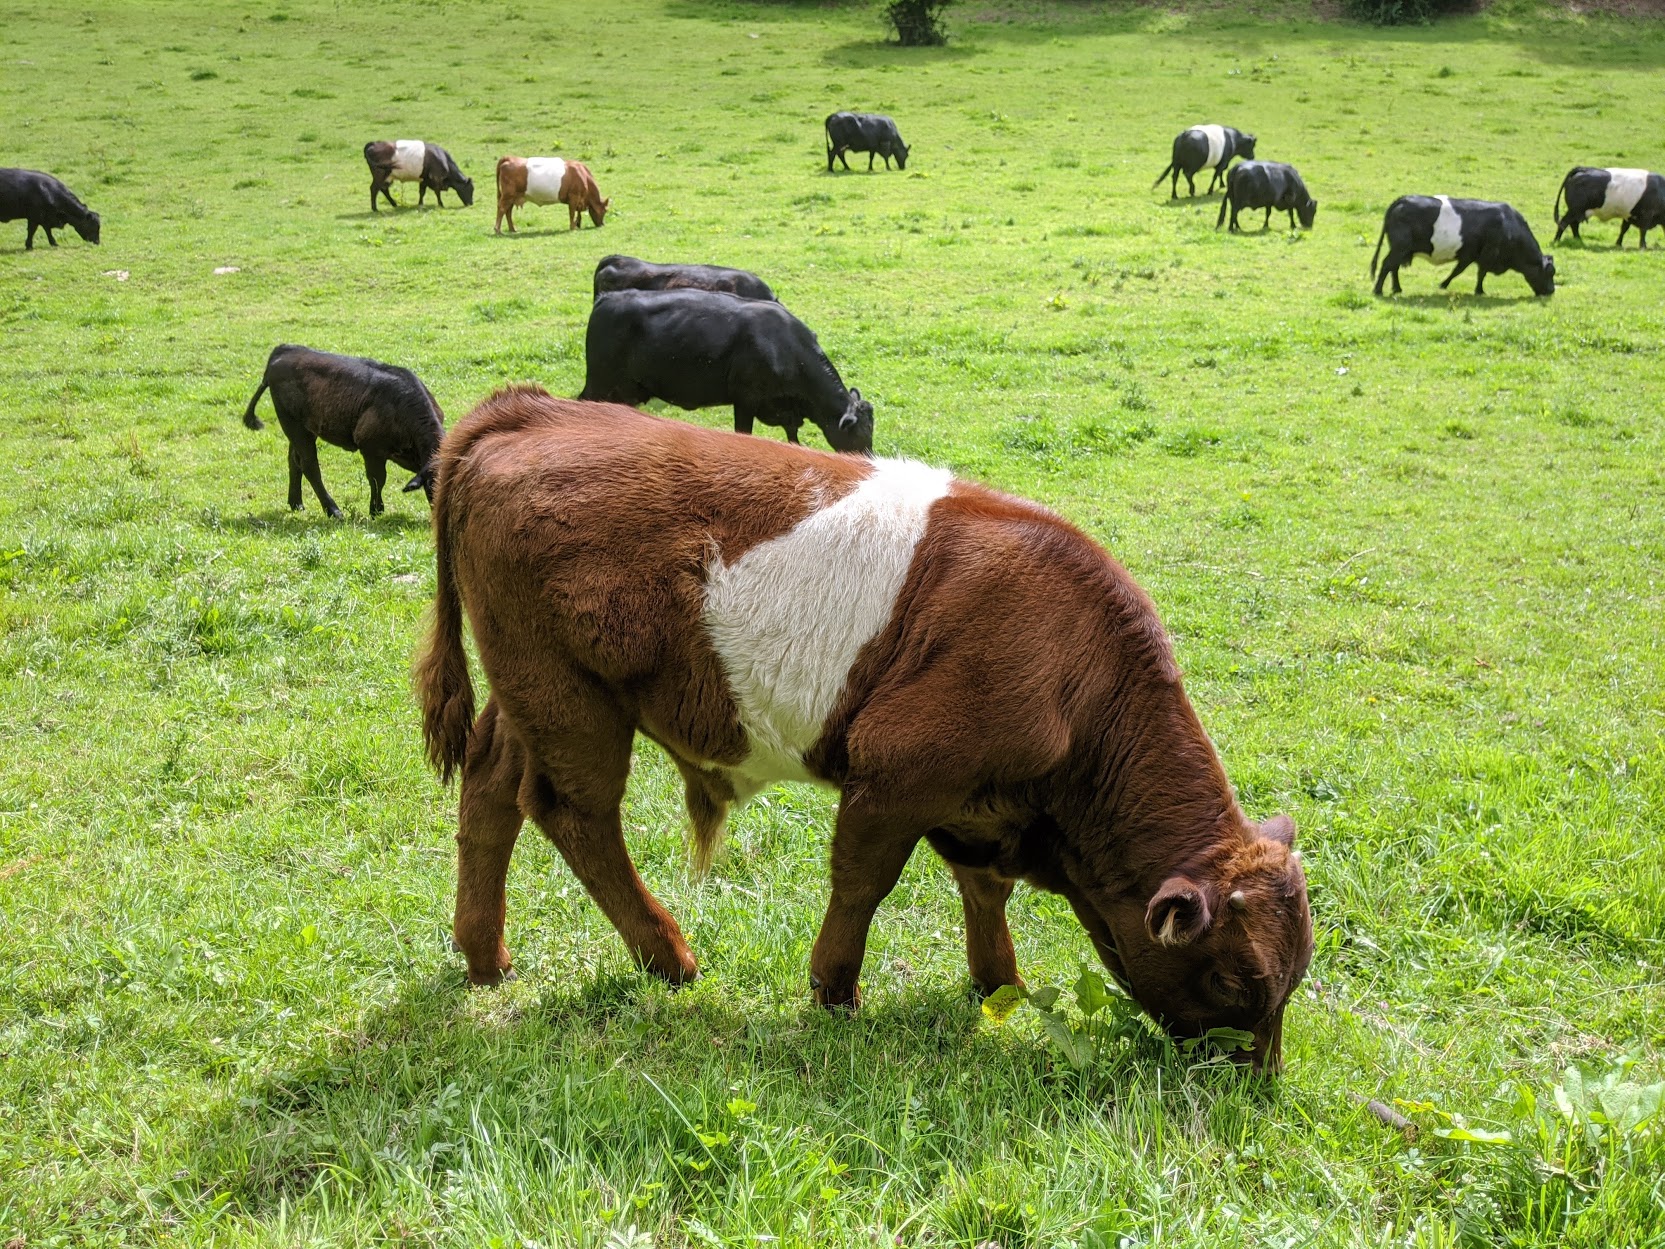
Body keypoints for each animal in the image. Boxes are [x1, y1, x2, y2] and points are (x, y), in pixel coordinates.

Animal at [240, 345, 445, 518]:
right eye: (433, 485)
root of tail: (284, 349)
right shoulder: (371, 448)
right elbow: (377, 479)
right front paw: (376, 510)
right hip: (294, 425)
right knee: (309, 465)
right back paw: (333, 510)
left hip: (303, 428)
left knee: (294, 461)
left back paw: (296, 503)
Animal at [416, 389, 1314, 1072]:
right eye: (1234, 984)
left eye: (1290, 983)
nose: (1257, 1080)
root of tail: (531, 410)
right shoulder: (897, 771)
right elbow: (862, 881)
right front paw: (835, 989)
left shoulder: (978, 801)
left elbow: (982, 888)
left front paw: (997, 983)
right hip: (571, 696)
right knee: (574, 814)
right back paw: (667, 956)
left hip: (528, 693)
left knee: (491, 785)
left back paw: (485, 958)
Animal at [579, 288, 873, 453]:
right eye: (860, 433)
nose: (870, 459)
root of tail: (608, 298)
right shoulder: (745, 400)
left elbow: (793, 439)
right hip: (600, 381)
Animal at [1371, 196, 1555, 297]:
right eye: (1550, 273)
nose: (1552, 290)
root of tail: (1402, 199)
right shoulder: (1484, 255)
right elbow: (1471, 272)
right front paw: (1473, 290)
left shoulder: (1472, 255)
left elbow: (1466, 271)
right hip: (1399, 247)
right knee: (1387, 265)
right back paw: (1378, 290)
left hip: (1400, 249)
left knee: (1393, 267)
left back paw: (1397, 289)